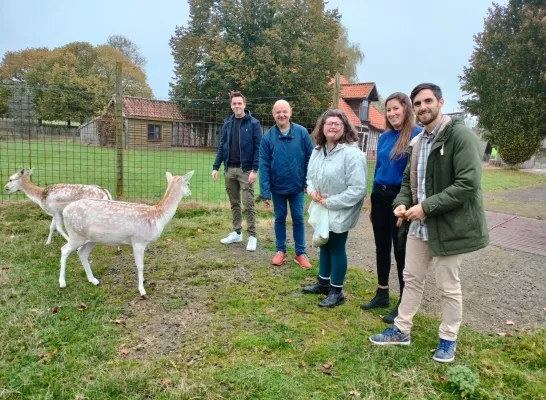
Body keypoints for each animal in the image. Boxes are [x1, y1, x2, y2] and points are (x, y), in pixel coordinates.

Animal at [59, 170, 194, 298]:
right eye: (188, 183)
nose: (190, 193)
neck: (157, 217)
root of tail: (64, 211)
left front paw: (143, 282)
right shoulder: (138, 241)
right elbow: (140, 265)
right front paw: (142, 291)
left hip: (91, 239)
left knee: (82, 253)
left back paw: (94, 280)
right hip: (76, 234)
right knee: (64, 249)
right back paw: (62, 283)